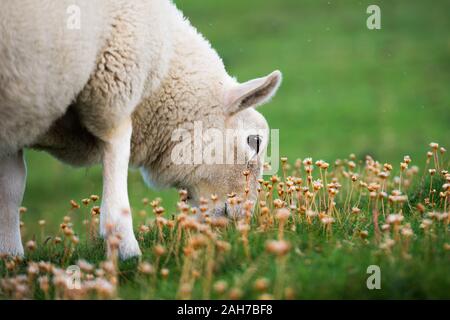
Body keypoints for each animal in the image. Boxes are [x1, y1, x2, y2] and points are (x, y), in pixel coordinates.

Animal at [0, 0, 282, 258]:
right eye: (255, 141)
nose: (244, 220)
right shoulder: (113, 95)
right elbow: (115, 190)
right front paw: (127, 253)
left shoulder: (14, 123)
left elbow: (11, 191)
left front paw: (11, 258)